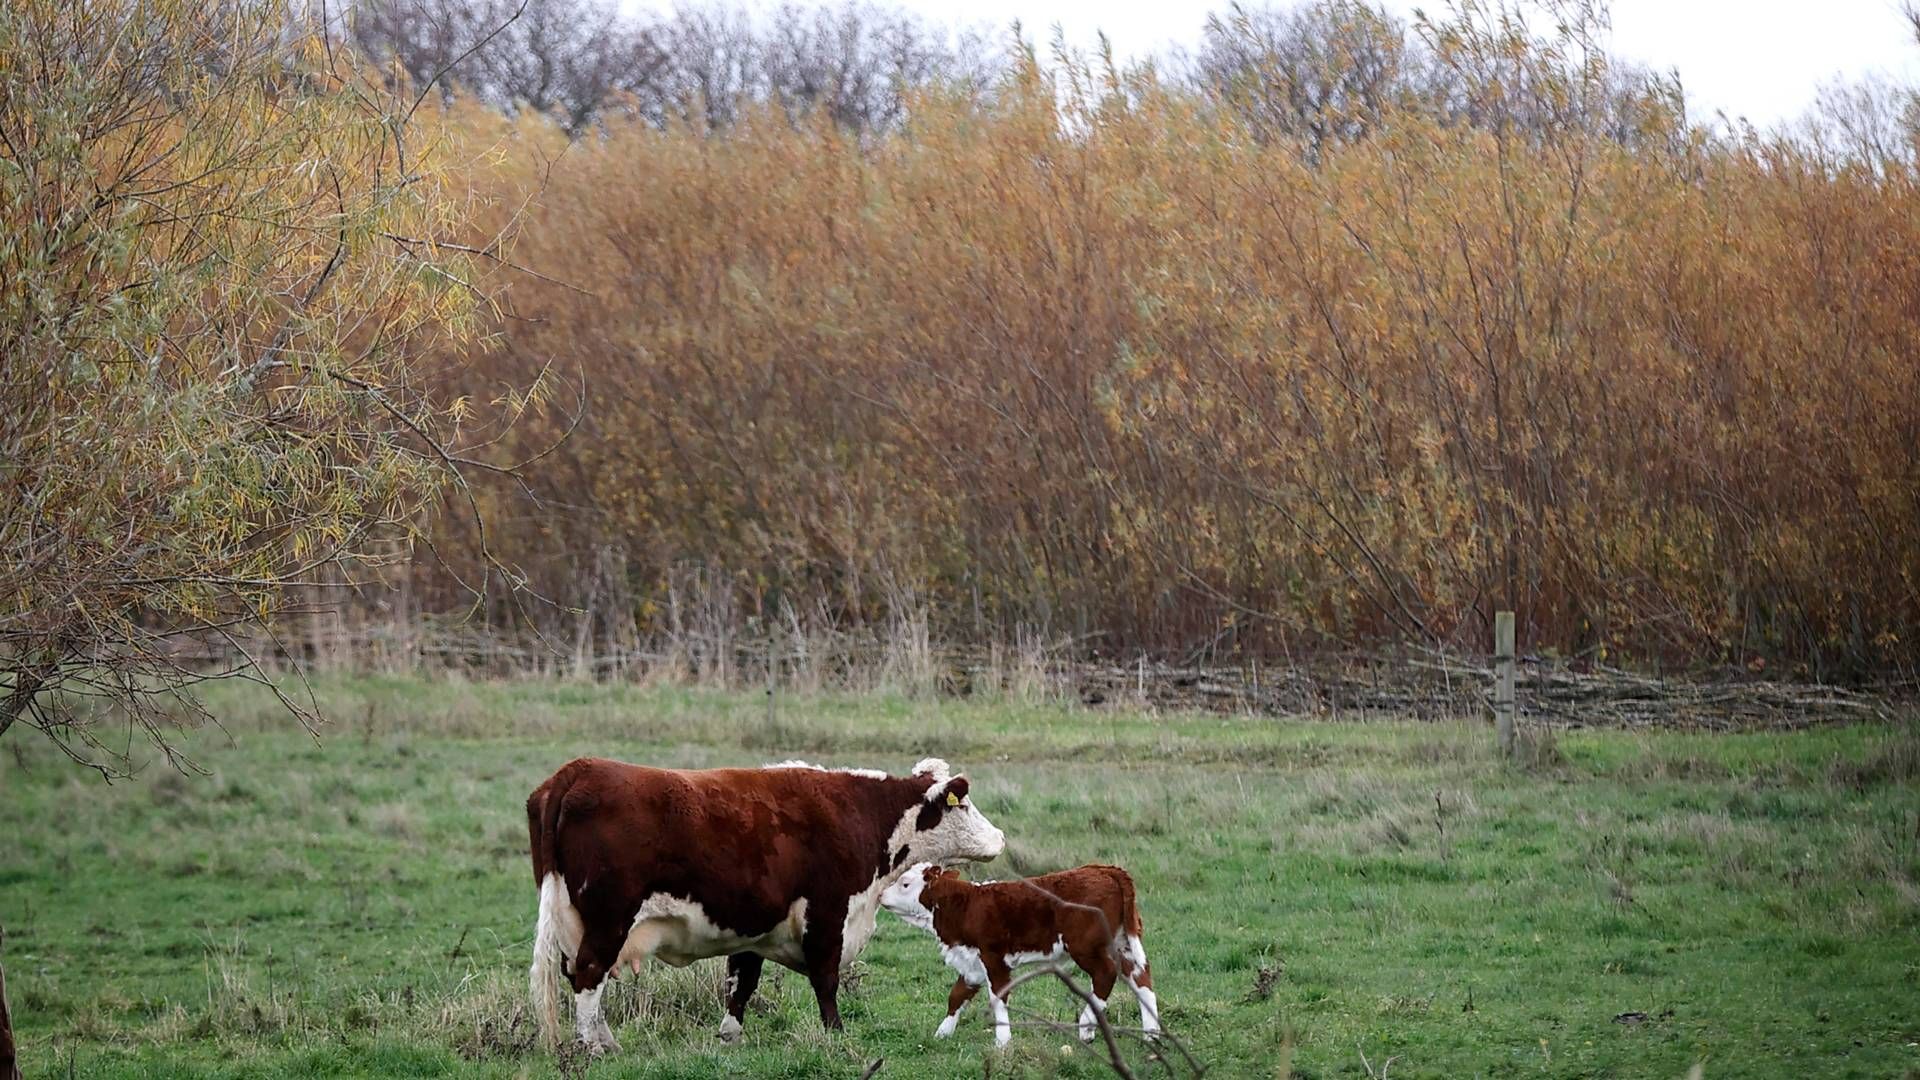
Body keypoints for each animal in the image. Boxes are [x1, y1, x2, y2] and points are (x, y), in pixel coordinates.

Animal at [526, 753, 1006, 1045]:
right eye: (963, 805)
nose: (1000, 837)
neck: (860, 815)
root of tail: (580, 769)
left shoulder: (753, 927)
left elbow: (741, 982)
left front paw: (729, 1037)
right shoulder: (827, 913)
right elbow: (825, 979)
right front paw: (835, 1034)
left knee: (578, 975)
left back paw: (605, 1041)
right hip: (609, 919)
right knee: (589, 976)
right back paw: (593, 1048)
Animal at [879, 857, 1159, 1045]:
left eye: (905, 884)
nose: (880, 895)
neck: (966, 907)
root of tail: (1104, 869)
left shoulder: (993, 958)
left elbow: (998, 997)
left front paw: (1003, 1041)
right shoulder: (972, 963)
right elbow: (957, 996)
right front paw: (942, 1033)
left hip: (1085, 946)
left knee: (1106, 974)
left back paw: (1086, 1027)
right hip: (1123, 942)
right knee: (1140, 977)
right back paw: (1152, 1034)